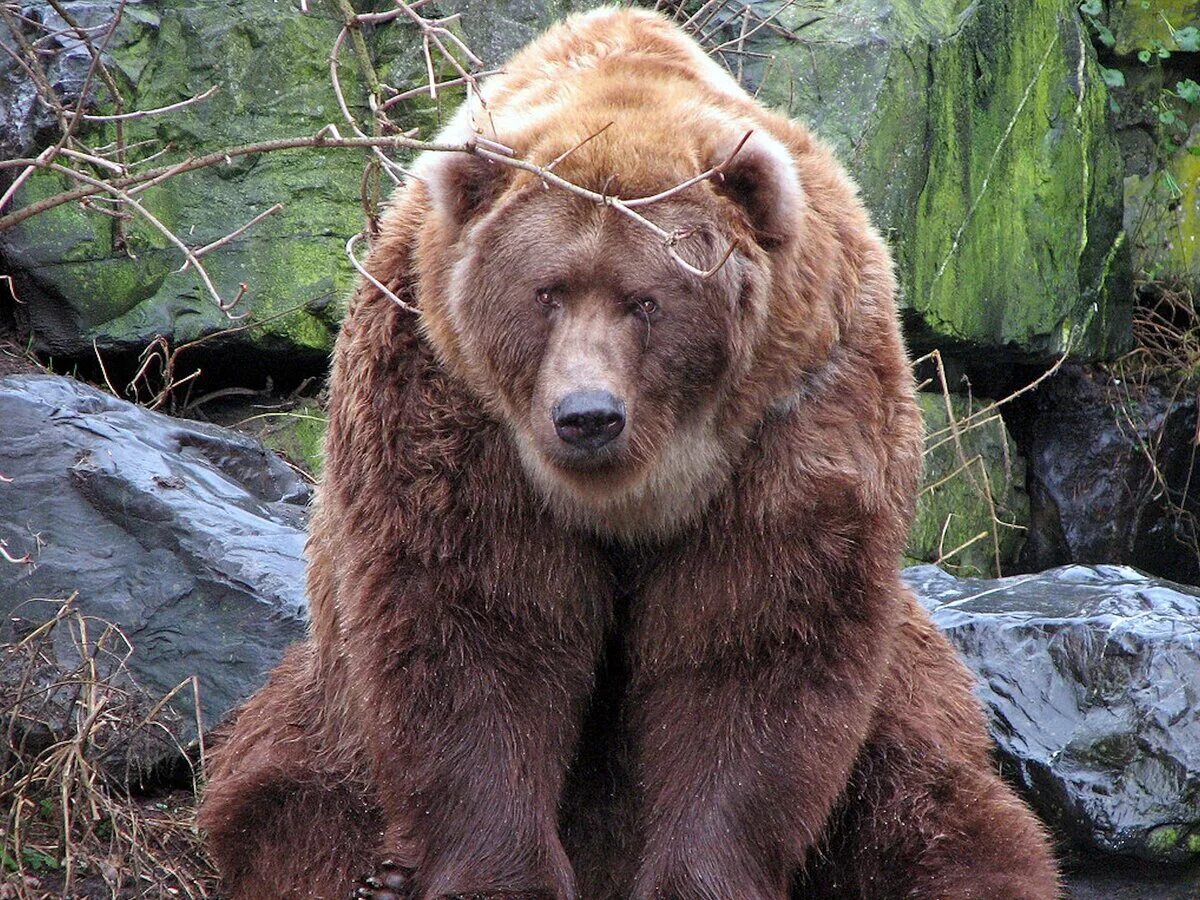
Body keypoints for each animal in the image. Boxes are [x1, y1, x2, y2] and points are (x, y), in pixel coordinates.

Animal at [196, 8, 1060, 900]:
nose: (587, 416)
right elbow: (476, 626)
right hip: (329, 703)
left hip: (903, 681)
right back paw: (379, 873)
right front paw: (500, 874)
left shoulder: (801, 411)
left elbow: (753, 643)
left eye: (646, 300)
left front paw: (700, 874)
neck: (639, 489)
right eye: (546, 292)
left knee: (932, 797)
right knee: (289, 790)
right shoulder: (444, 394)